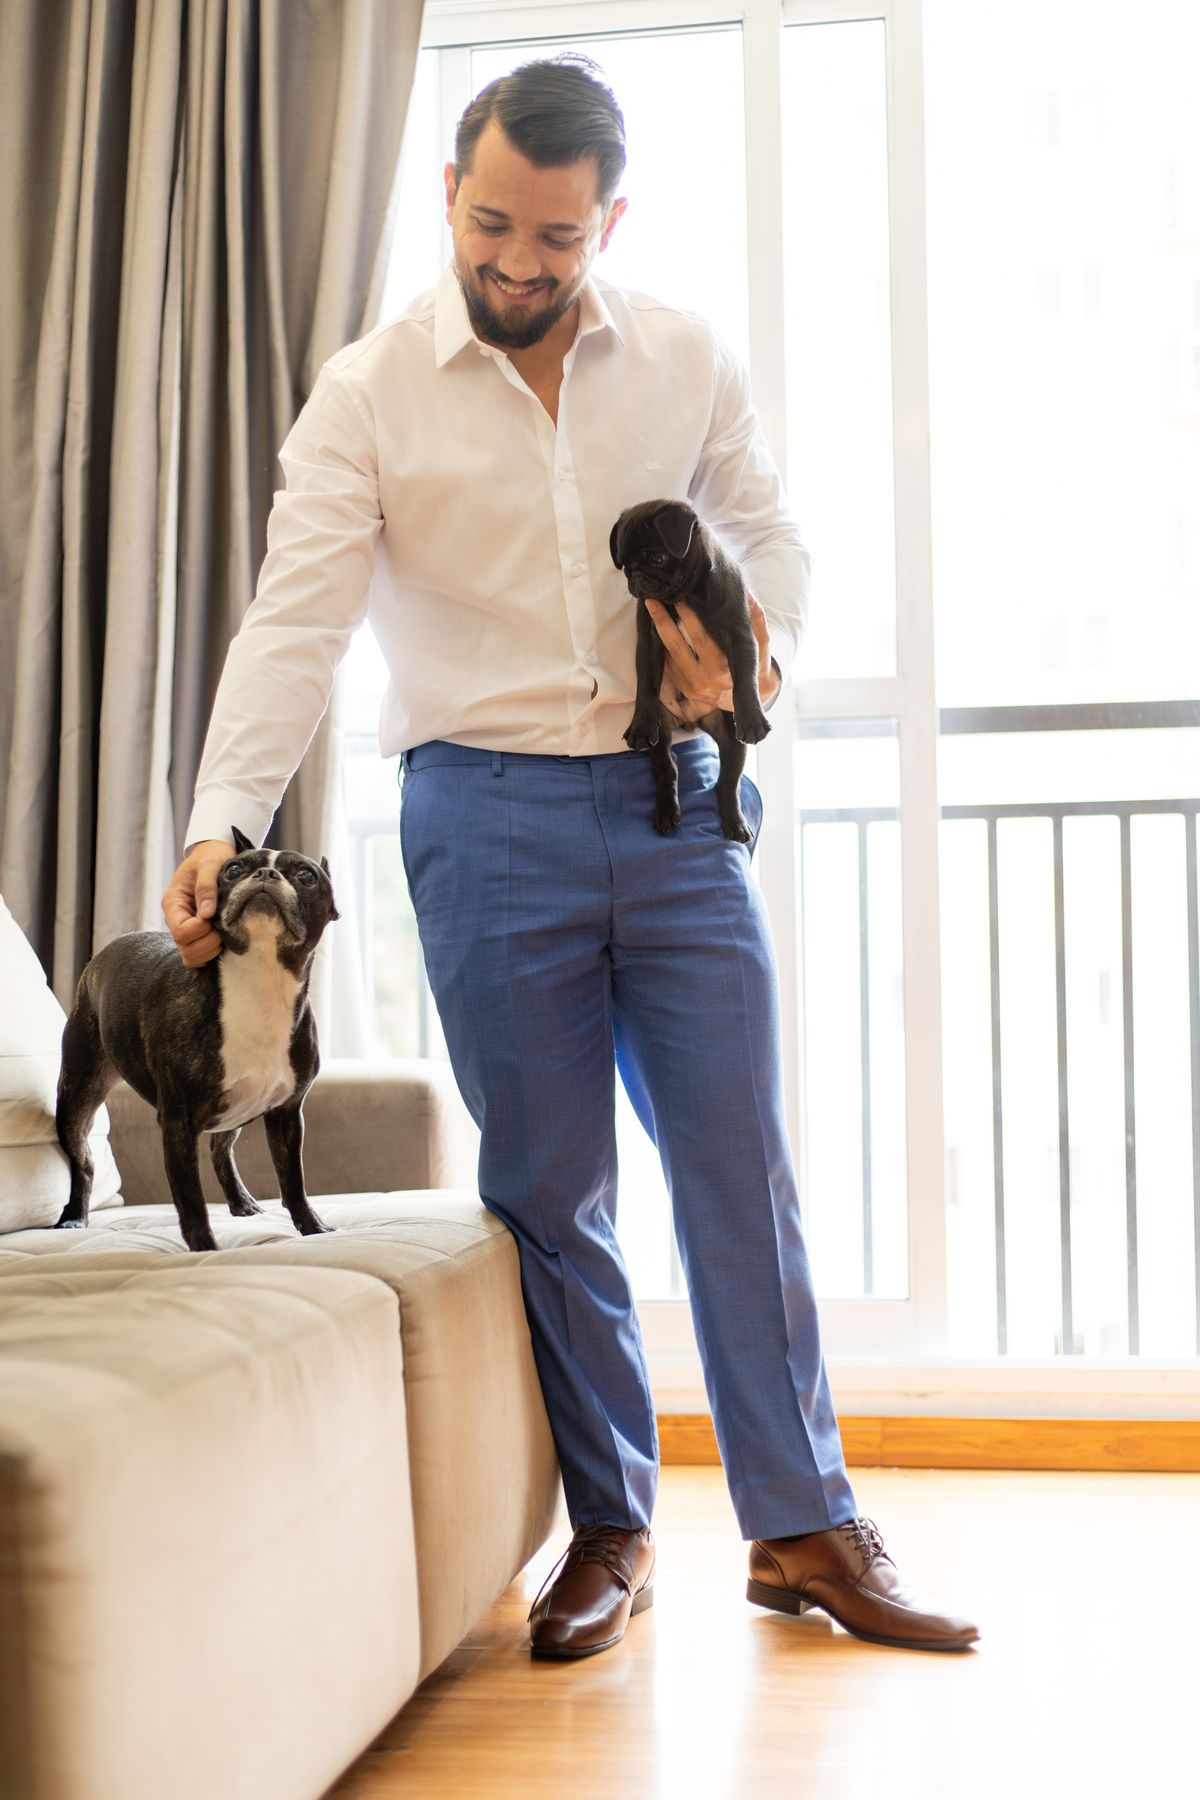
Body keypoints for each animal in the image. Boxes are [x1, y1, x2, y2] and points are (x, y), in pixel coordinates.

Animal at [55, 829, 339, 1252]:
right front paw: (205, 1247)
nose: (266, 874)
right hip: (76, 1093)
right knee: (83, 1161)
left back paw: (241, 1201)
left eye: (307, 877)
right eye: (233, 870)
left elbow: (294, 1180)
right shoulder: (178, 1122)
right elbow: (190, 1196)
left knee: (220, 1148)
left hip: (237, 1105)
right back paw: (74, 1216)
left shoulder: (287, 1113)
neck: (261, 979)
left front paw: (313, 1227)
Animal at [611, 499, 770, 842]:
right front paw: (640, 724)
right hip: (662, 734)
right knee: (667, 768)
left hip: (732, 742)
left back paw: (734, 823)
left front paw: (752, 718)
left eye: (657, 558)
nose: (636, 576)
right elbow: (646, 682)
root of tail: (691, 722)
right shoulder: (649, 641)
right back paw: (666, 812)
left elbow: (745, 678)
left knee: (728, 783)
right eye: (624, 565)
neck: (682, 598)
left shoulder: (739, 635)